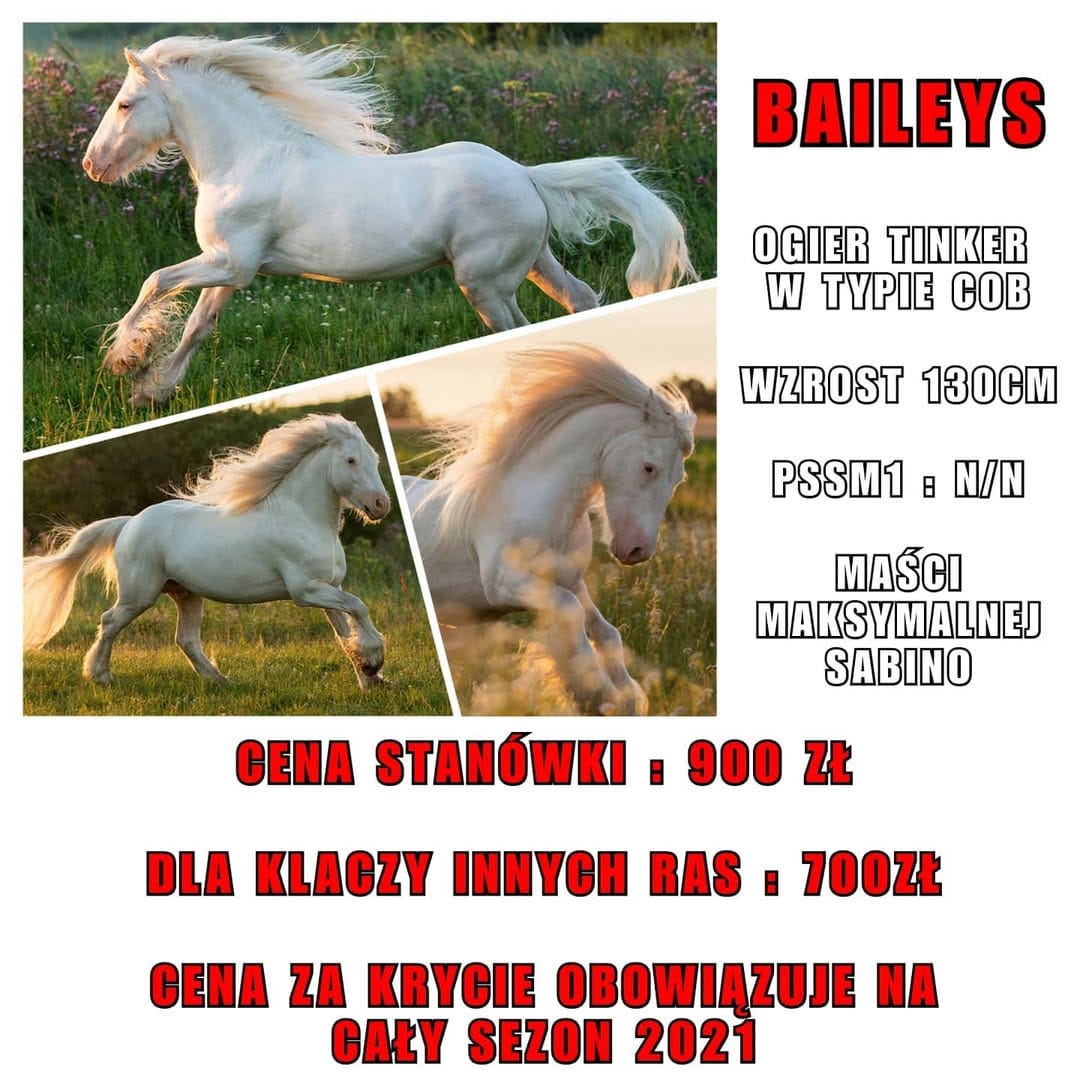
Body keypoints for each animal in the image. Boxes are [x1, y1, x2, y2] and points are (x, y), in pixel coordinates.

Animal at [23, 413, 391, 688]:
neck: (303, 517)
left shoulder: (330, 587)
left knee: (185, 639)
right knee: (109, 621)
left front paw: (371, 678)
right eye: (350, 460)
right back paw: (100, 676)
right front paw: (374, 662)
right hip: (139, 595)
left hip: (186, 594)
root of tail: (129, 523)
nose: (381, 505)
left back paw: (220, 680)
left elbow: (346, 631)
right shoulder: (306, 590)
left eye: (373, 458)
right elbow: (359, 608)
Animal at [82, 36, 699, 405]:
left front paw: (123, 362)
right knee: (579, 299)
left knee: (520, 328)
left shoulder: (230, 263)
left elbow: (154, 282)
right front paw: (152, 391)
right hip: (533, 263)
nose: (93, 165)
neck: (246, 159)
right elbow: (196, 325)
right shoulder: (231, 270)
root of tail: (524, 175)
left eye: (125, 104)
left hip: (485, 283)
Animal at [403, 345, 695, 715]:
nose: (637, 551)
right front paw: (597, 696)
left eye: (679, 479)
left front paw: (626, 698)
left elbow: (605, 632)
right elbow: (572, 620)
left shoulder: (570, 582)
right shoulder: (506, 585)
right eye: (649, 467)